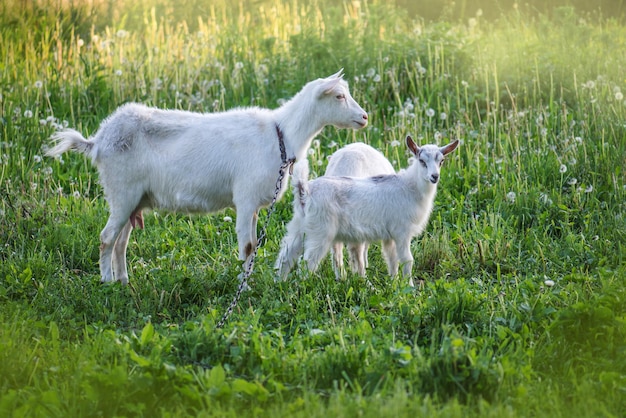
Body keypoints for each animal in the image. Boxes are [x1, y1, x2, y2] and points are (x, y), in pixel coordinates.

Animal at [46, 70, 368, 286]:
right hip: (121, 191)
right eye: (339, 96)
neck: (282, 133)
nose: (365, 117)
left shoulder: (254, 204)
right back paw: (106, 282)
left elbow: (253, 245)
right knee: (106, 238)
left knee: (120, 241)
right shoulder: (245, 197)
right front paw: (244, 287)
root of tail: (98, 140)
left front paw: (248, 281)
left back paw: (124, 282)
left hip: (132, 199)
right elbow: (248, 246)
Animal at [276, 136, 456, 286]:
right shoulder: (401, 231)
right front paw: (410, 288)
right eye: (422, 161)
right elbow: (407, 259)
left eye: (441, 161)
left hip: (299, 226)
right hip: (320, 231)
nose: (434, 177)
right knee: (307, 262)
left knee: (286, 255)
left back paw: (279, 283)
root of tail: (304, 190)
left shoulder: (389, 235)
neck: (410, 187)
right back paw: (303, 286)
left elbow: (392, 258)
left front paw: (394, 283)